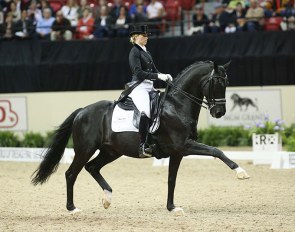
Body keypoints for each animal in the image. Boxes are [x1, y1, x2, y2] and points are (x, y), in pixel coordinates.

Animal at [31, 60, 250, 215]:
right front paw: (241, 172)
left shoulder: (178, 152)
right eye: (217, 82)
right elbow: (216, 150)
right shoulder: (184, 145)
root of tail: (82, 111)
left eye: (227, 83)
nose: (219, 112)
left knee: (92, 167)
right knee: (71, 173)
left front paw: (172, 207)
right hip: (85, 149)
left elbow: (172, 180)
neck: (177, 105)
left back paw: (107, 198)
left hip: (111, 151)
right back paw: (73, 208)